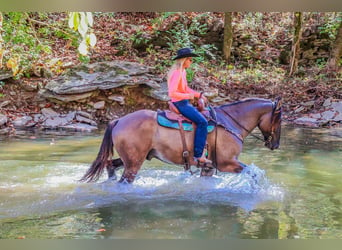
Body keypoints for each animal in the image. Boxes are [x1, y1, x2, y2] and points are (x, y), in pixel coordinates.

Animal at [80, 97, 280, 184]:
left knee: (110, 165)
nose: (275, 144)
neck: (229, 122)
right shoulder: (227, 163)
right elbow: (253, 173)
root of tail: (119, 120)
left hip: (131, 159)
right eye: (278, 118)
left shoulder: (209, 167)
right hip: (133, 164)